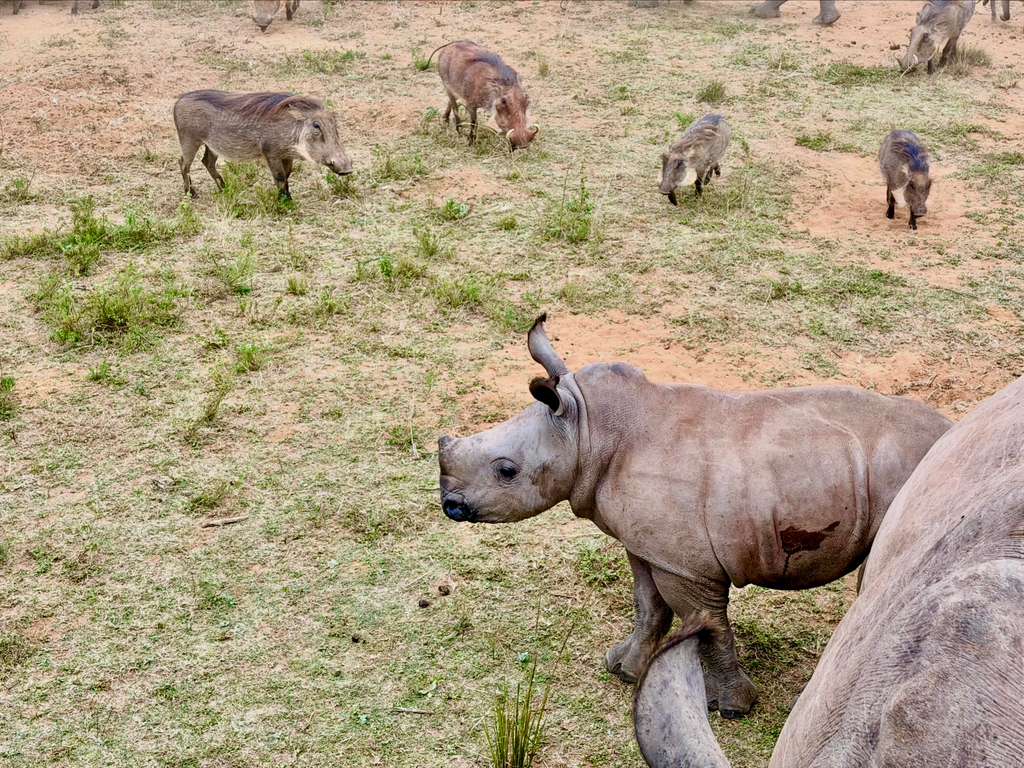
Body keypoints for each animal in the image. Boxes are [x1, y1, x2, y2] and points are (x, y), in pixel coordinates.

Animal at [438, 315, 950, 717]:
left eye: (507, 471)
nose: (449, 505)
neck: (586, 430)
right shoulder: (649, 545)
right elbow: (649, 606)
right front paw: (623, 669)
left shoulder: (688, 564)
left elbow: (705, 625)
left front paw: (730, 709)